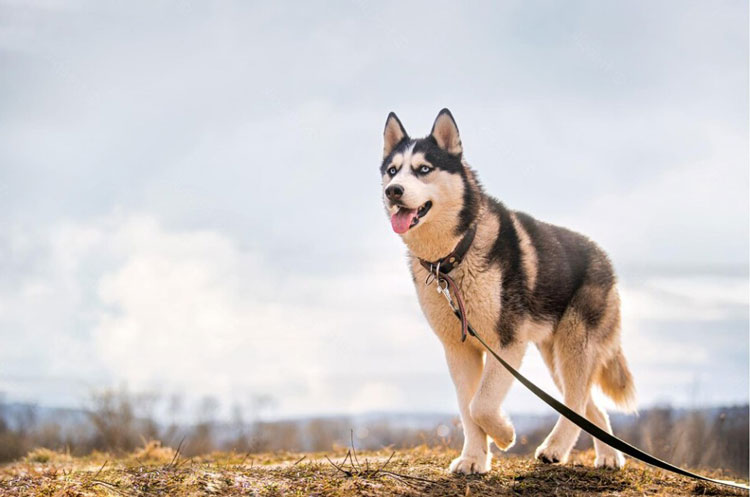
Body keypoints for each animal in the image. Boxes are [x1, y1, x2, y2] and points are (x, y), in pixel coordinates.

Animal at [382, 107, 636, 472]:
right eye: (392, 170)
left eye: (424, 169)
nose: (393, 191)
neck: (453, 258)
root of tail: (604, 257)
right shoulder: (458, 349)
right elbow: (468, 408)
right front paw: (473, 459)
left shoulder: (507, 343)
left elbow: (481, 404)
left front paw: (504, 434)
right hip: (555, 355)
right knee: (589, 406)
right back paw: (609, 456)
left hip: (574, 343)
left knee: (575, 401)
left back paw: (555, 448)